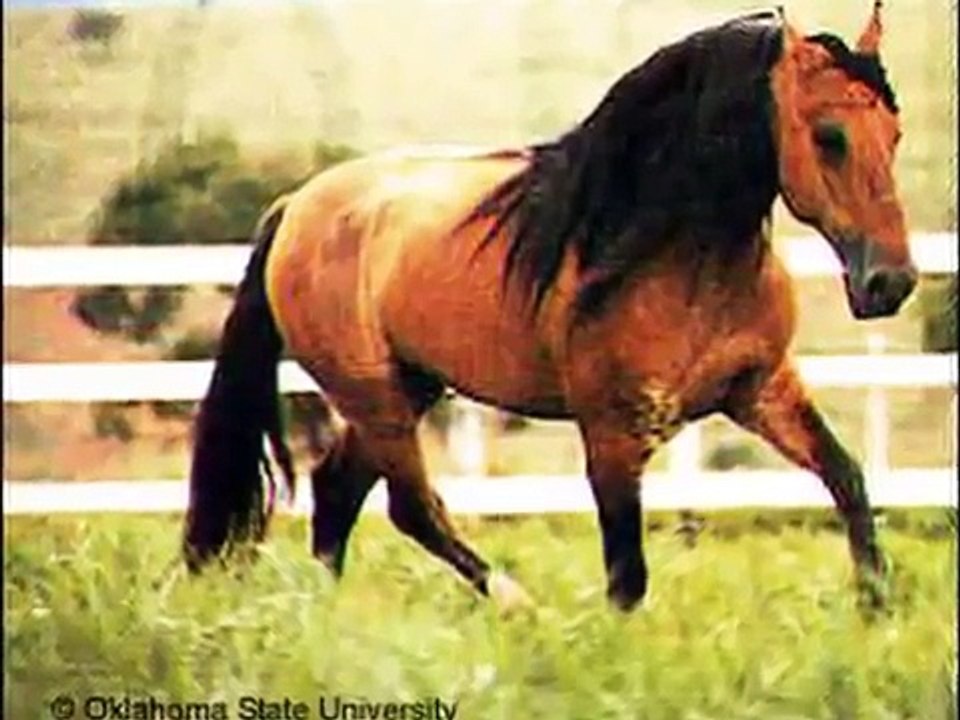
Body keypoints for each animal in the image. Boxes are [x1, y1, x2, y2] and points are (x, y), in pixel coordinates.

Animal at [183, 5, 915, 612]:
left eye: (895, 134)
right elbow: (627, 577)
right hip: (373, 395)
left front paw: (875, 612)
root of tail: (295, 207)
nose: (891, 282)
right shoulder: (613, 434)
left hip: (408, 387)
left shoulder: (759, 389)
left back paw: (329, 617)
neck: (682, 259)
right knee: (408, 505)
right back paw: (515, 603)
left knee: (340, 493)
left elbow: (848, 479)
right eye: (829, 137)